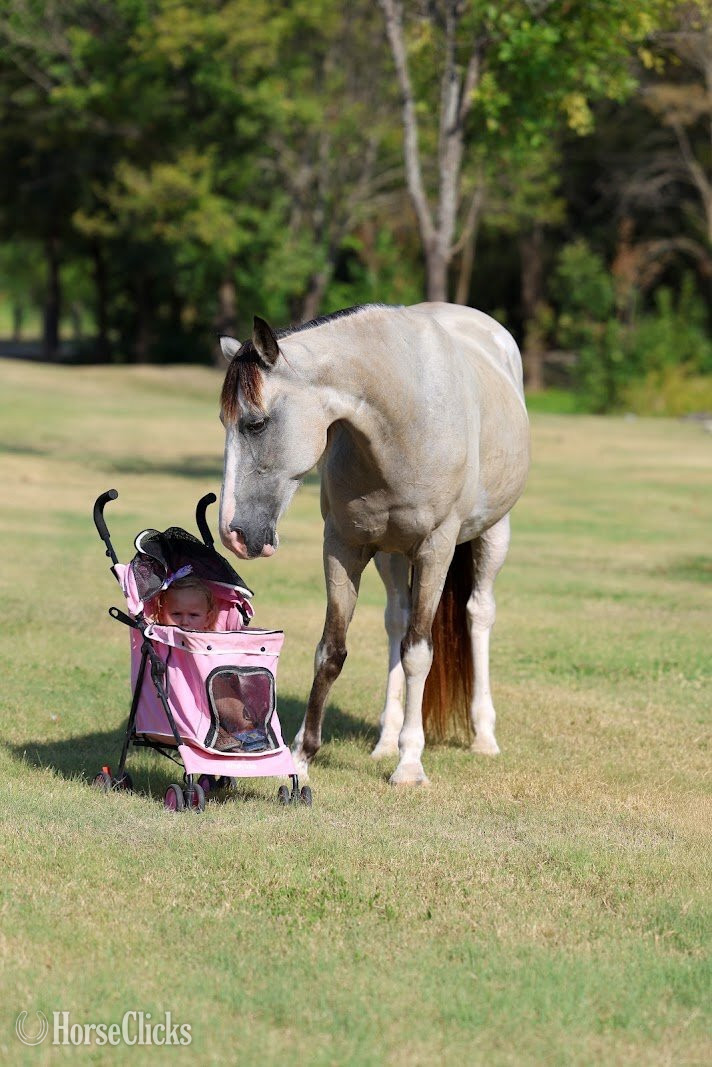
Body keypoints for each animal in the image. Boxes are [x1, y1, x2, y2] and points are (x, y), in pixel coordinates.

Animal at [218, 302, 530, 785]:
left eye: (256, 423)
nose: (232, 533)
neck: (400, 418)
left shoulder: (436, 550)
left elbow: (419, 653)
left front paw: (411, 764)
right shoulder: (343, 547)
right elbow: (331, 651)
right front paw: (302, 759)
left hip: (493, 535)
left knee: (478, 615)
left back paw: (482, 736)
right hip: (391, 555)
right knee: (396, 622)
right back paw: (386, 740)